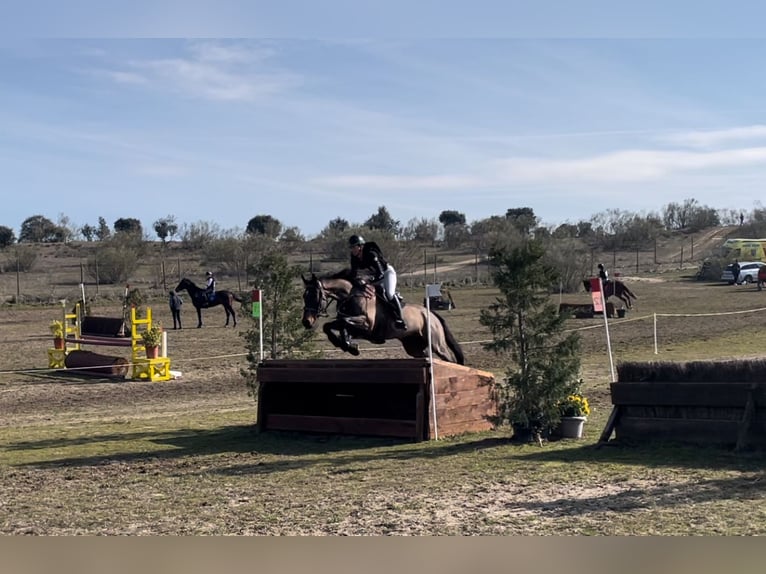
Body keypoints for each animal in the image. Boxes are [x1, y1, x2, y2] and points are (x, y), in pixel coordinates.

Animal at [304, 274, 464, 364]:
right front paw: (347, 345)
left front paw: (348, 345)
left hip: (436, 343)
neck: (351, 297)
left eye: (314, 296)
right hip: (414, 347)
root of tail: (431, 313)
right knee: (426, 356)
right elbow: (331, 326)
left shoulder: (366, 324)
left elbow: (343, 322)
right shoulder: (357, 329)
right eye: (304, 296)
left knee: (449, 358)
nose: (306, 322)